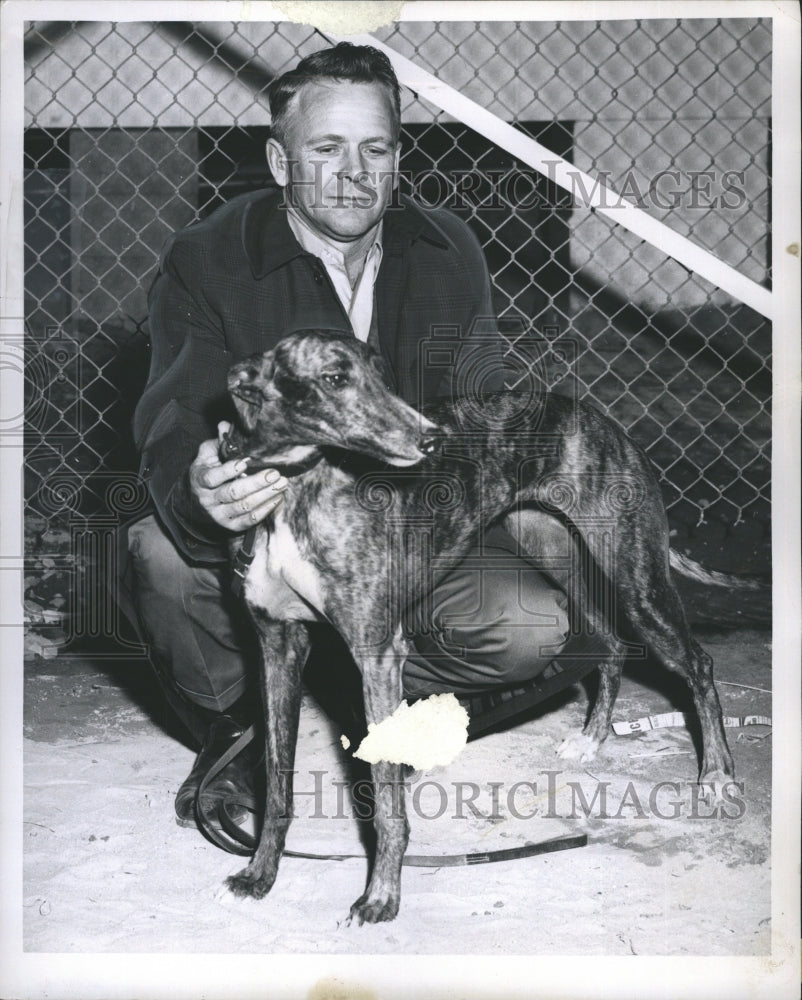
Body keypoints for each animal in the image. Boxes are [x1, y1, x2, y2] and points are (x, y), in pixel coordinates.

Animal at [217, 328, 732, 920]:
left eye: (381, 373)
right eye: (334, 378)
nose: (432, 440)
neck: (294, 489)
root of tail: (602, 419)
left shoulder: (376, 652)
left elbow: (387, 803)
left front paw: (381, 895)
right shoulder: (278, 645)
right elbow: (276, 785)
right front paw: (259, 874)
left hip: (636, 578)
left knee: (697, 663)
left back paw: (717, 775)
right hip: (558, 552)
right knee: (611, 644)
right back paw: (592, 739)